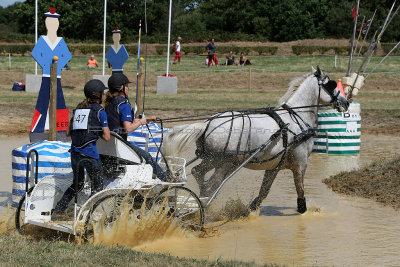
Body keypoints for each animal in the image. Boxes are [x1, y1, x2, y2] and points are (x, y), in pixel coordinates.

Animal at [164, 67, 348, 214]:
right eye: (332, 84)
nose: (346, 102)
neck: (295, 118)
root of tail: (207, 124)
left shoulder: (274, 166)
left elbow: (264, 191)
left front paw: (251, 209)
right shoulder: (300, 164)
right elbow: (300, 190)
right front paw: (302, 210)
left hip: (212, 159)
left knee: (198, 172)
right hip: (224, 163)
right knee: (210, 185)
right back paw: (202, 207)